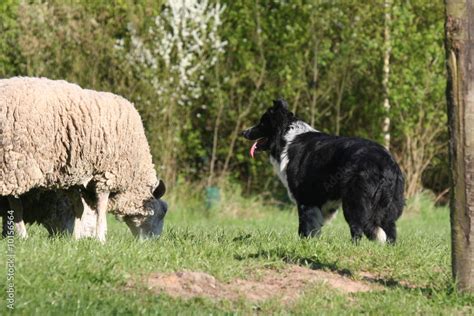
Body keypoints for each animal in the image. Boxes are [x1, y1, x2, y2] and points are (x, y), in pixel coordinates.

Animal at [0, 78, 168, 241]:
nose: (153, 242)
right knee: (15, 203)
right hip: (15, 162)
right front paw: (100, 238)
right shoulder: (106, 175)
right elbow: (101, 208)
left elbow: (79, 208)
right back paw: (22, 235)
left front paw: (76, 238)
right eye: (161, 213)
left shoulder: (74, 177)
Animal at [241, 100, 404, 243]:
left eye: (262, 123)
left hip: (354, 202)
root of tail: (385, 161)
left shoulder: (305, 198)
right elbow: (315, 227)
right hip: (388, 207)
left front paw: (303, 244)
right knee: (391, 230)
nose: (243, 132)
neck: (286, 138)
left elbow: (304, 227)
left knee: (357, 229)